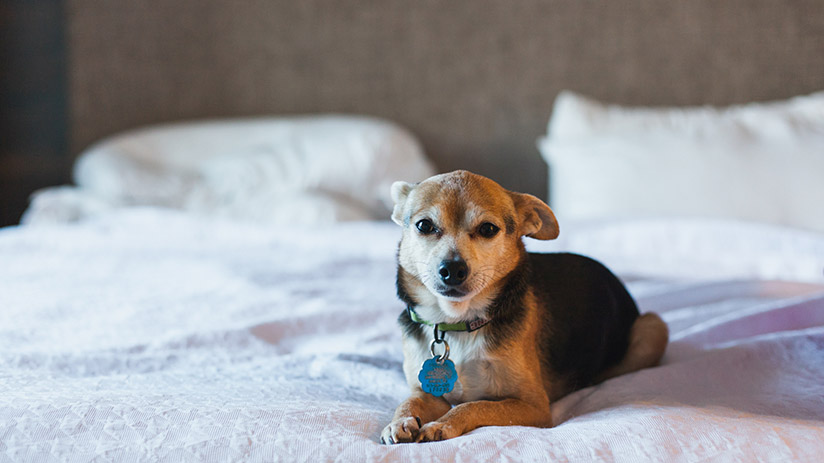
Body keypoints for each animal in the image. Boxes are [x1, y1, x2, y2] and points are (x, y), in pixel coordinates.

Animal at [380, 171, 668, 446]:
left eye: (488, 229)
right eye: (424, 225)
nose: (452, 269)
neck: (459, 323)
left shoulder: (534, 406)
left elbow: (475, 405)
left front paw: (443, 424)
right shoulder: (426, 392)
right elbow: (409, 402)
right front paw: (399, 422)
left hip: (653, 326)